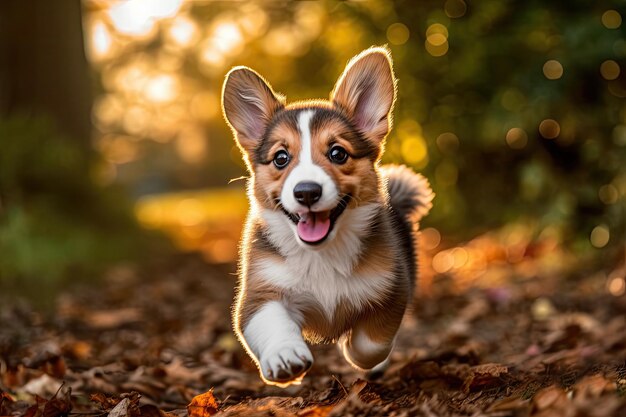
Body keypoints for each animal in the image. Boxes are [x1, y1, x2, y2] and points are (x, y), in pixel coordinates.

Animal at [222, 47, 432, 386]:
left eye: (338, 153)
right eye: (281, 158)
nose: (307, 192)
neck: (321, 255)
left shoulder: (392, 288)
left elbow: (370, 342)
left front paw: (356, 353)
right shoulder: (258, 295)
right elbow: (272, 322)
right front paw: (285, 356)